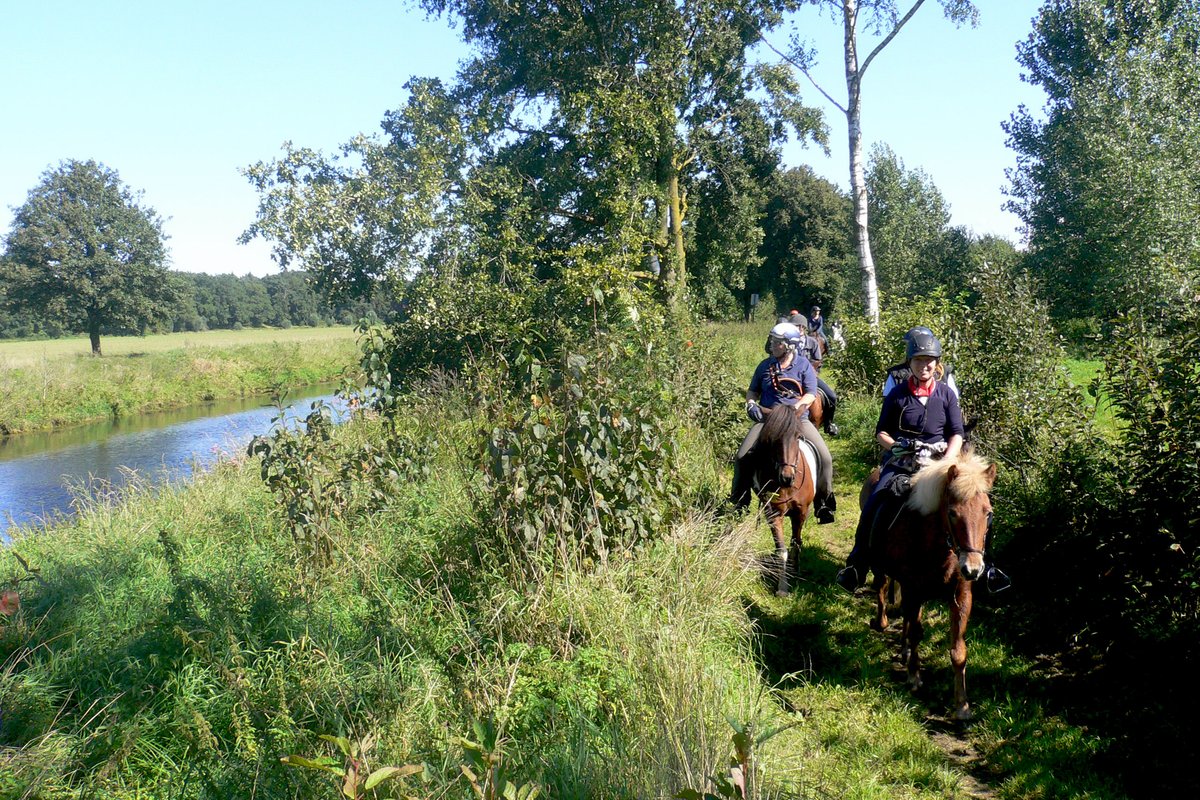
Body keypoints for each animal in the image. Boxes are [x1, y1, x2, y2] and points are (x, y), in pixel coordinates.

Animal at [748, 402, 816, 597]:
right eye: (774, 438)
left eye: (798, 437)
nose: (787, 477)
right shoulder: (773, 514)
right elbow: (781, 550)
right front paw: (783, 587)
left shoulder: (801, 512)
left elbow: (796, 542)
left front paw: (795, 570)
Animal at [868, 453, 998, 724]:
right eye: (952, 513)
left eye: (988, 514)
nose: (973, 569)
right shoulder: (912, 588)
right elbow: (917, 632)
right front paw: (914, 677)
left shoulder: (961, 596)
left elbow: (958, 650)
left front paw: (962, 706)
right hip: (883, 569)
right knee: (883, 588)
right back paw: (882, 623)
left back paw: (904, 650)